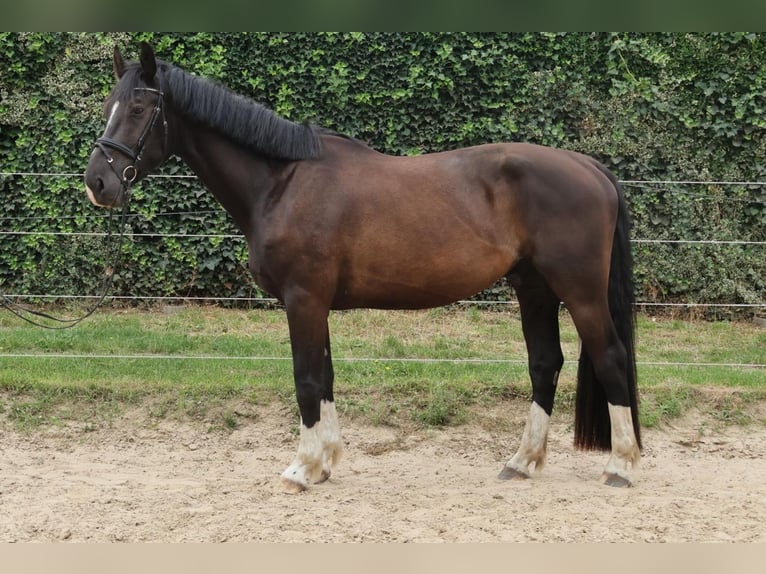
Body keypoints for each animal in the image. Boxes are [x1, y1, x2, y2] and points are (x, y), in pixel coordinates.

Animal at [85, 42, 640, 496]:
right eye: (108, 106)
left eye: (139, 108)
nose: (98, 184)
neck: (281, 183)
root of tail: (590, 167)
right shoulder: (316, 304)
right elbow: (326, 376)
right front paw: (326, 462)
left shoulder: (303, 300)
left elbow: (306, 378)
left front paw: (300, 469)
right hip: (534, 288)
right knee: (545, 364)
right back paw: (522, 462)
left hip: (580, 291)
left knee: (611, 357)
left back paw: (621, 466)